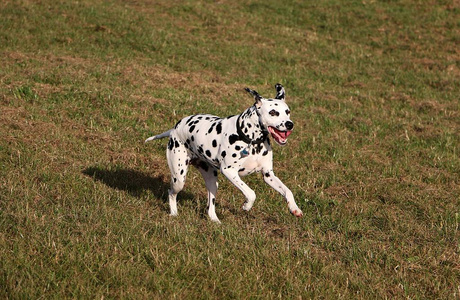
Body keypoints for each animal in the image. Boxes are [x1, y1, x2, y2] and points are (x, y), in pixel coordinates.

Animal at [144, 83, 302, 221]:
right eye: (273, 112)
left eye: (288, 112)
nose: (290, 124)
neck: (251, 140)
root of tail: (174, 129)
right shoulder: (229, 171)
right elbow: (251, 193)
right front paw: (246, 206)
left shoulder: (268, 175)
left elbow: (288, 191)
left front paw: (294, 208)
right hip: (179, 178)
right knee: (171, 192)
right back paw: (174, 213)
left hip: (212, 181)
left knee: (210, 204)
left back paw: (214, 220)